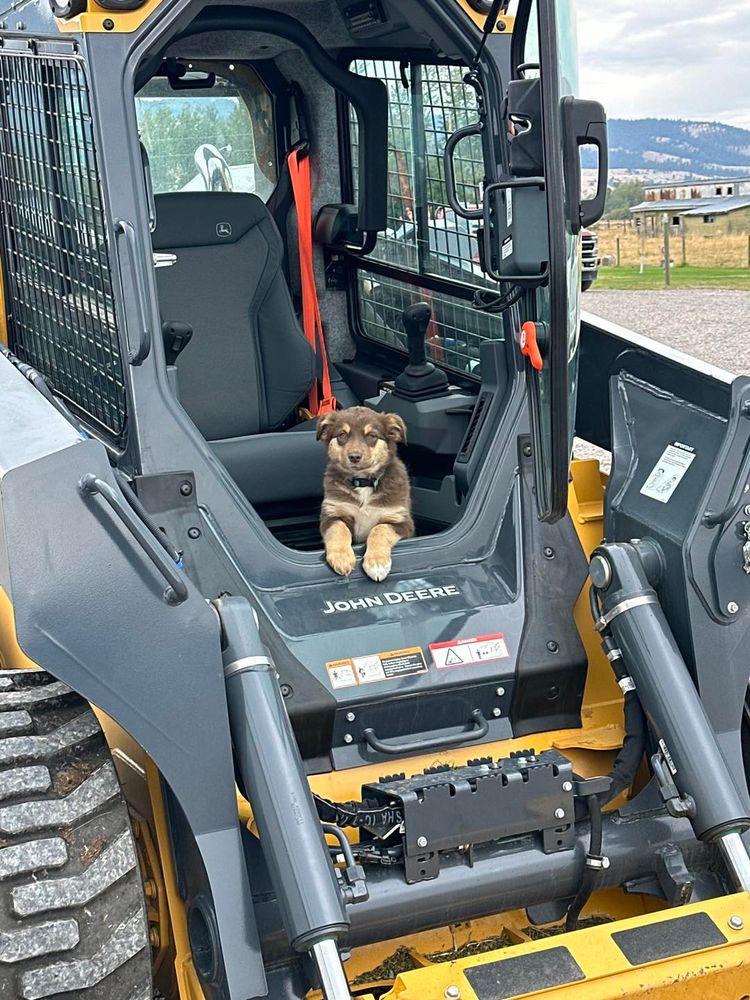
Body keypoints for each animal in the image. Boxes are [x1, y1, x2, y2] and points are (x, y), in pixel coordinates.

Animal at [318, 404, 418, 580]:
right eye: (342, 435)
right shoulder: (332, 514)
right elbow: (339, 530)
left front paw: (377, 564)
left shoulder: (401, 521)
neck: (363, 482)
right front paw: (342, 558)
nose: (354, 456)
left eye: (372, 435)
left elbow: (379, 530)